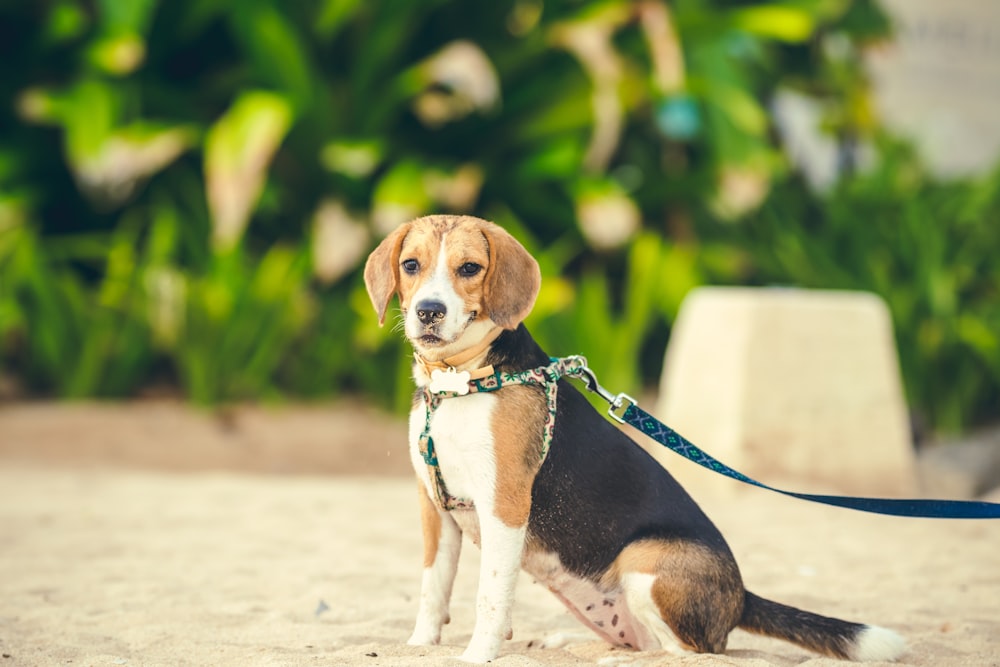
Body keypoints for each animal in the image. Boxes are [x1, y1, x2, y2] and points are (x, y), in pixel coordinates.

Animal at [366, 217, 908, 664]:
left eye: (470, 268)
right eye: (411, 265)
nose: (429, 311)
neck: (458, 383)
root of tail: (740, 595)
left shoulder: (504, 503)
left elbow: (489, 596)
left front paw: (479, 654)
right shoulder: (435, 509)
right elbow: (433, 589)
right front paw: (419, 645)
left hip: (643, 560)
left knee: (694, 653)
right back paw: (571, 642)